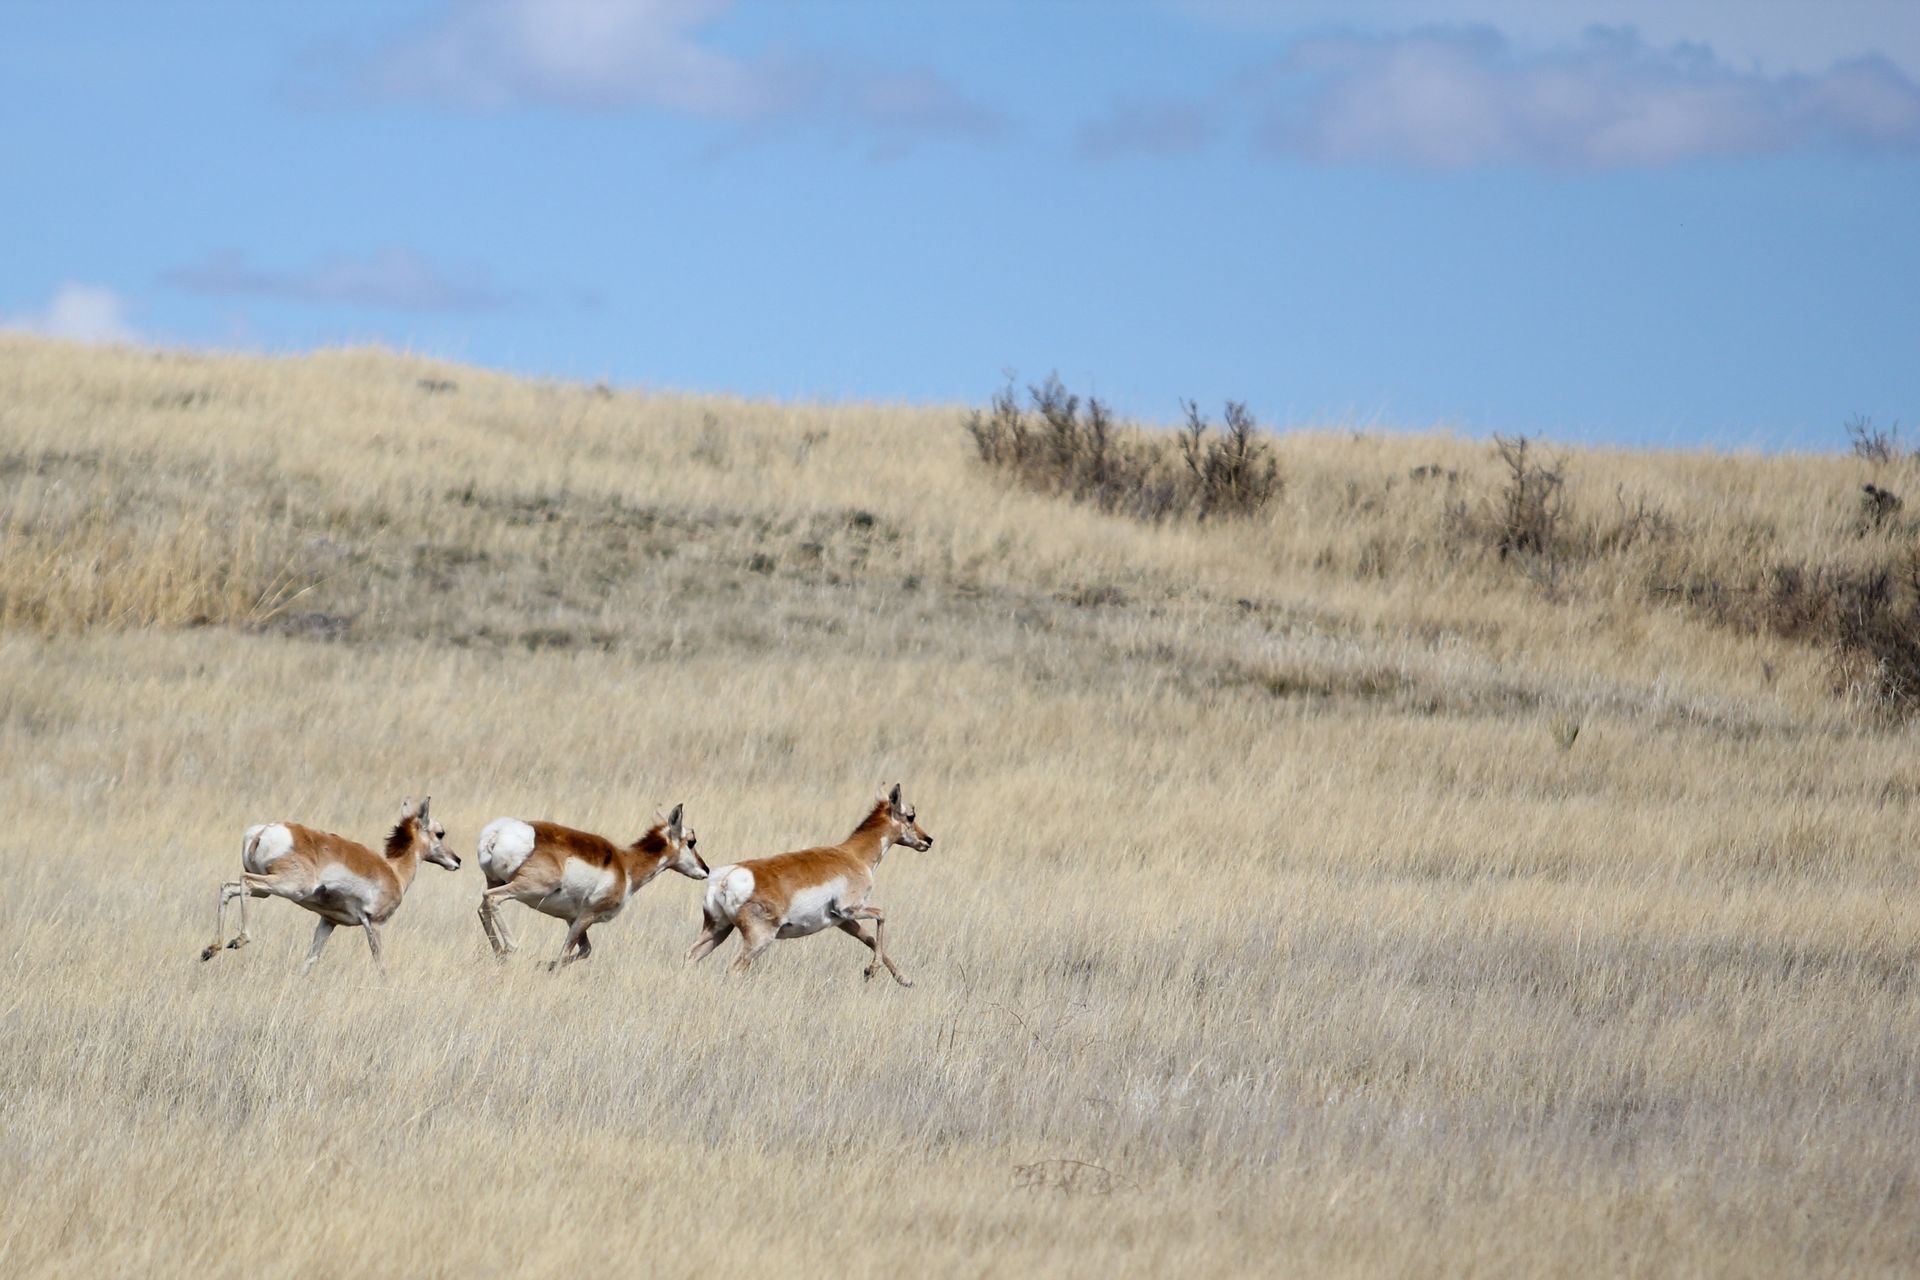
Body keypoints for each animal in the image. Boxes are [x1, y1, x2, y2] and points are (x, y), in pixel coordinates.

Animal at [200, 797, 458, 971]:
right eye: (440, 833)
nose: (457, 860)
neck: (393, 870)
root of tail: (264, 830)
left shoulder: (327, 921)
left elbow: (311, 959)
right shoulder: (374, 924)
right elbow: (380, 964)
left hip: (267, 890)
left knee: (228, 886)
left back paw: (210, 949)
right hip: (287, 887)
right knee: (245, 882)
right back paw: (239, 940)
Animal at [474, 804, 707, 967]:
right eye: (692, 841)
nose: (706, 870)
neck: (625, 865)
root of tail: (498, 832)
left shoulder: (571, 919)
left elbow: (585, 950)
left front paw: (543, 964)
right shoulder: (586, 917)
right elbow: (565, 955)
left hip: (497, 881)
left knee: (482, 908)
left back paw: (499, 953)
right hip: (526, 888)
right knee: (492, 898)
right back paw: (511, 948)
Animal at [687, 783, 932, 986]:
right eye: (911, 816)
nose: (928, 840)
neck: (854, 855)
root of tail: (726, 878)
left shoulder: (843, 921)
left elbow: (869, 938)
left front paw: (904, 979)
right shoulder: (850, 909)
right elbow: (882, 914)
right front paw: (871, 970)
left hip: (718, 930)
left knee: (690, 956)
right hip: (759, 939)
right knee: (734, 969)